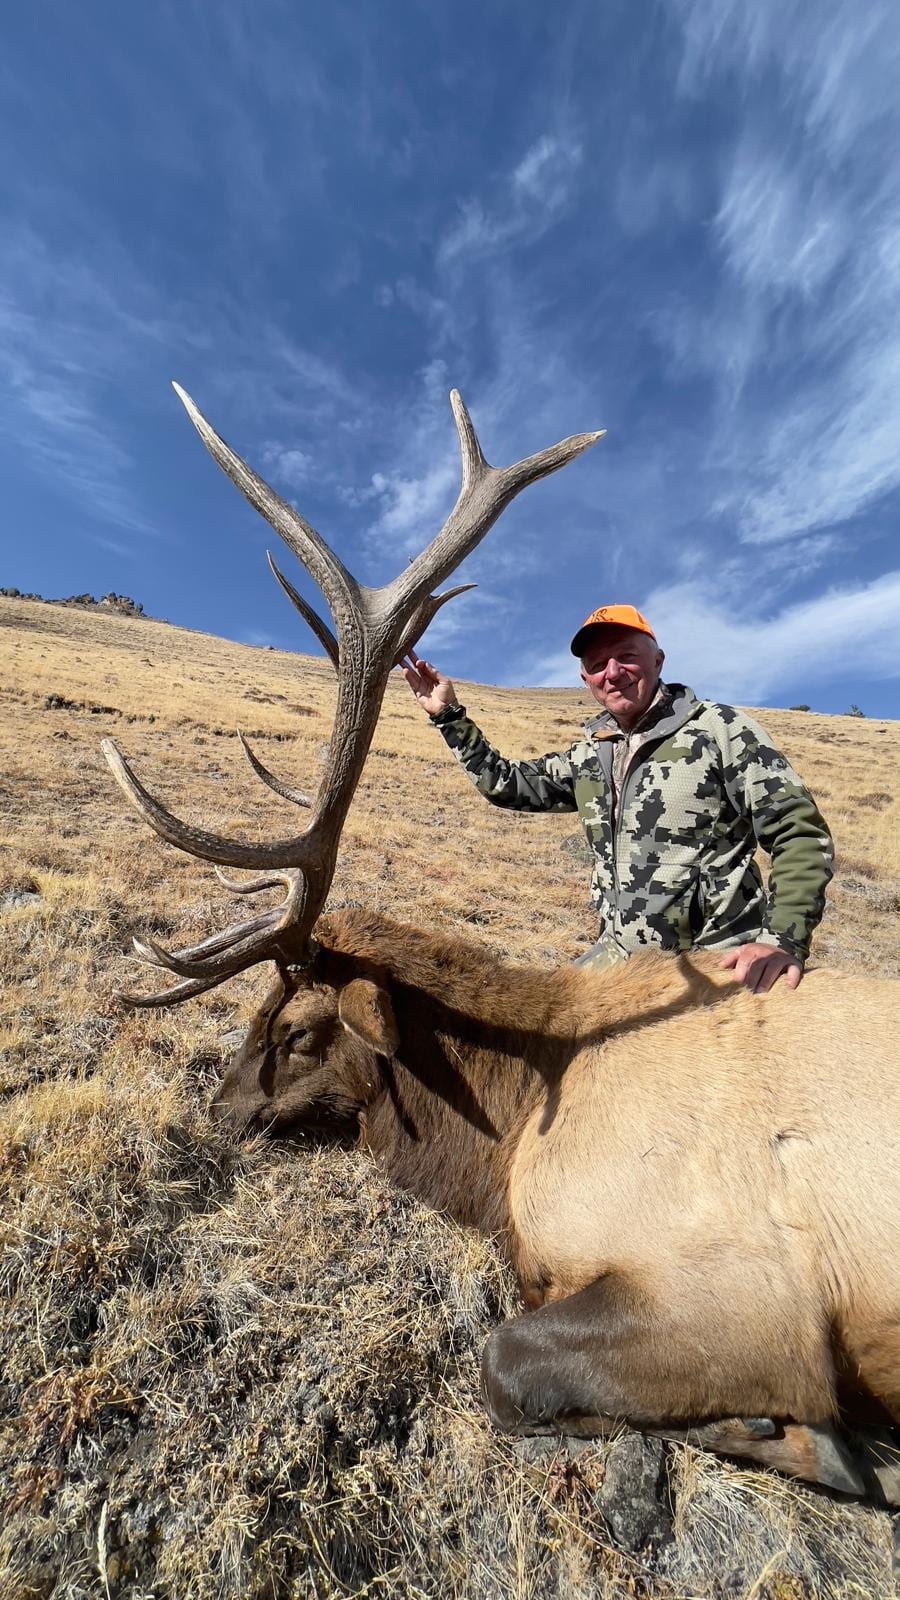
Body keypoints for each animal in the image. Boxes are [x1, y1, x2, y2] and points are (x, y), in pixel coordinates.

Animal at [102, 384, 900, 1504]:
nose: (214, 1116)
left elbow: (505, 1360)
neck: (514, 1127)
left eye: (296, 1027)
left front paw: (798, 1438)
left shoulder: (750, 1292)